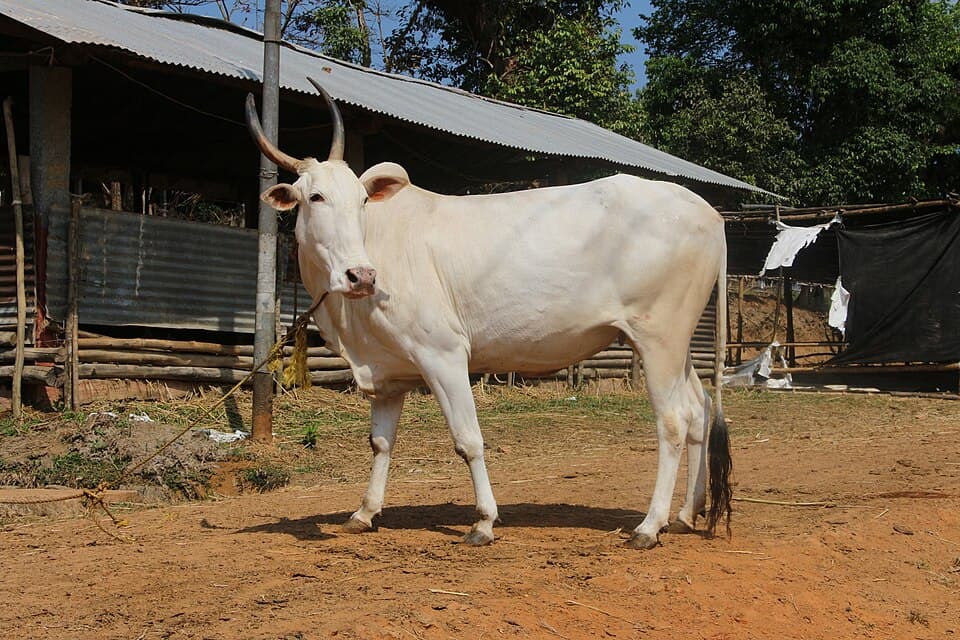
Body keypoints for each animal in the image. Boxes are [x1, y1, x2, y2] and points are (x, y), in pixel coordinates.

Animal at [245, 78, 732, 549]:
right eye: (316, 197)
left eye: (362, 201)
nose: (361, 275)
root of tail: (711, 214)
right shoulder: (389, 372)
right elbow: (381, 443)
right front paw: (364, 513)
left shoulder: (442, 354)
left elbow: (468, 440)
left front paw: (483, 521)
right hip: (675, 343)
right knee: (699, 409)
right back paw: (686, 515)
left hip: (659, 337)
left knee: (673, 421)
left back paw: (650, 526)